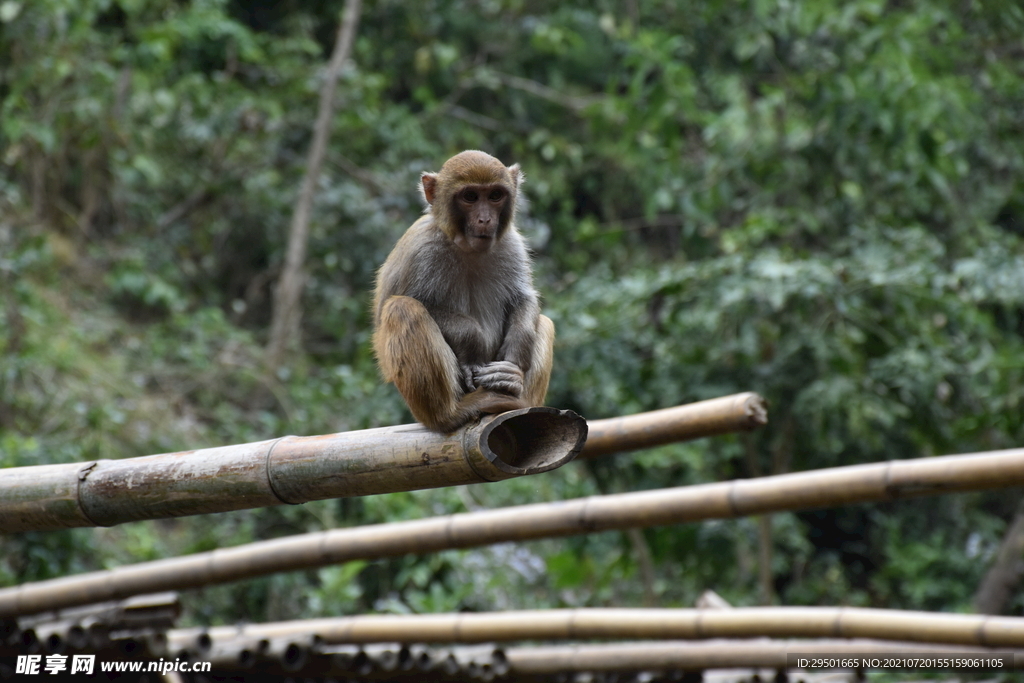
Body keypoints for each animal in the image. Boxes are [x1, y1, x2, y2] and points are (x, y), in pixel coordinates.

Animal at [374, 152, 557, 436]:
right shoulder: (421, 250)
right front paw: (472, 343)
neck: (466, 247)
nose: (485, 220)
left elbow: (523, 298)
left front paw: (514, 360)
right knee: (402, 308)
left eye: (495, 195)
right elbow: (401, 306)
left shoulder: (511, 244)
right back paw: (450, 415)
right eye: (470, 196)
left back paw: (517, 398)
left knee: (544, 322)